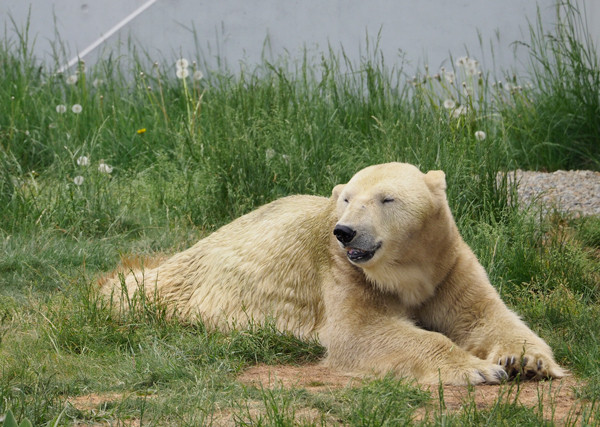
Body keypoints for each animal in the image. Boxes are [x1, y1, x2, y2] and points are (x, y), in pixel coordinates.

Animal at [101, 162, 564, 386]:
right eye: (346, 198)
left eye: (386, 199)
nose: (345, 231)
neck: (405, 270)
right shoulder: (343, 271)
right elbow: (361, 331)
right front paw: (479, 370)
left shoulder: (447, 264)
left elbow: (484, 314)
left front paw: (527, 361)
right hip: (183, 283)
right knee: (135, 290)